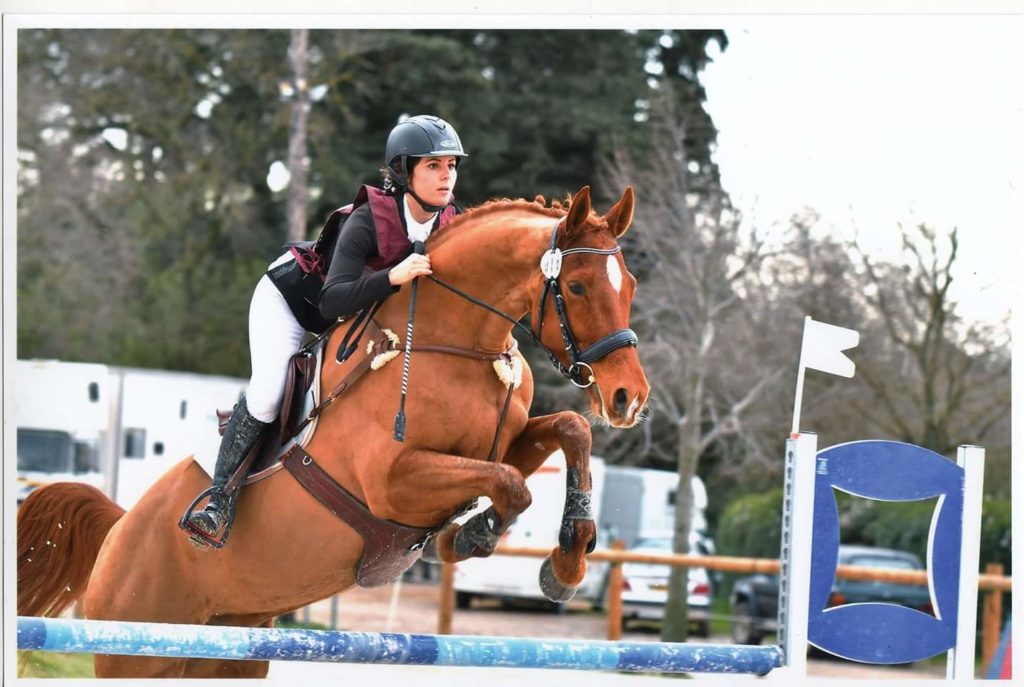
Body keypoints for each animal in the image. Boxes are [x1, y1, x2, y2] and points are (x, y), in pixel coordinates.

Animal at [18, 185, 647, 679]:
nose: (629, 398)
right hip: (137, 648)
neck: (458, 341)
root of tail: (118, 529)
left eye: (631, 285)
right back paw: (211, 515)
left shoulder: (502, 445)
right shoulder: (393, 483)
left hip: (227, 648)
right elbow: (509, 485)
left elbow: (568, 432)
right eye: (579, 287)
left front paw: (566, 561)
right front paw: (470, 537)